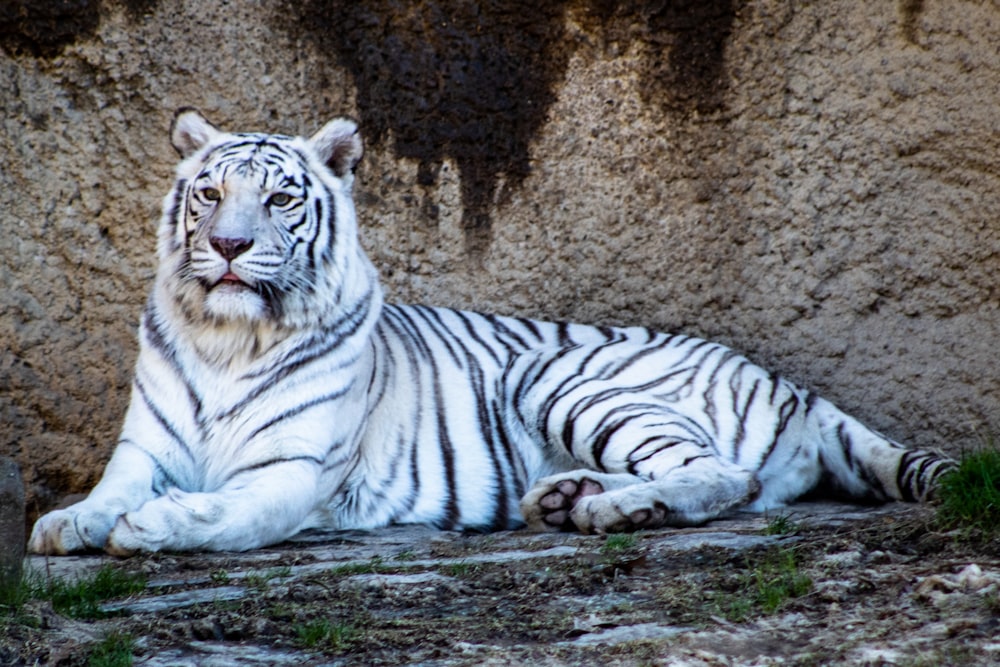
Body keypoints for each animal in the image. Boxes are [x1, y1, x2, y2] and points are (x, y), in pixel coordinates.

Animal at [29, 109, 952, 556]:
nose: (226, 246)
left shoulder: (292, 468)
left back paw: (615, 509)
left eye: (282, 198)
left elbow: (228, 514)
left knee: (726, 476)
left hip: (560, 376)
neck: (228, 337)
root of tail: (792, 386)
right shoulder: (144, 447)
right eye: (211, 192)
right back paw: (570, 497)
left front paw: (152, 527)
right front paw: (68, 523)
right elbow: (109, 489)